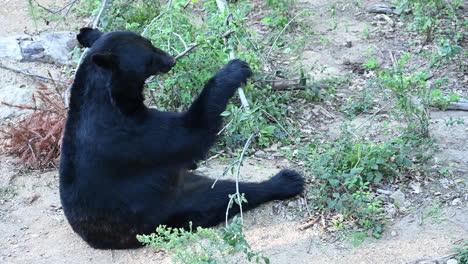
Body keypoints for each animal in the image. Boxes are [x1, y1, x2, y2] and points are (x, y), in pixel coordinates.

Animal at [58, 27, 306, 249]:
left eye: (150, 42)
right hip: (167, 209)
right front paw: (233, 70)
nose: (171, 59)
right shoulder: (132, 135)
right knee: (222, 196)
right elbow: (190, 132)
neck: (109, 97)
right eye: (149, 54)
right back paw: (285, 181)